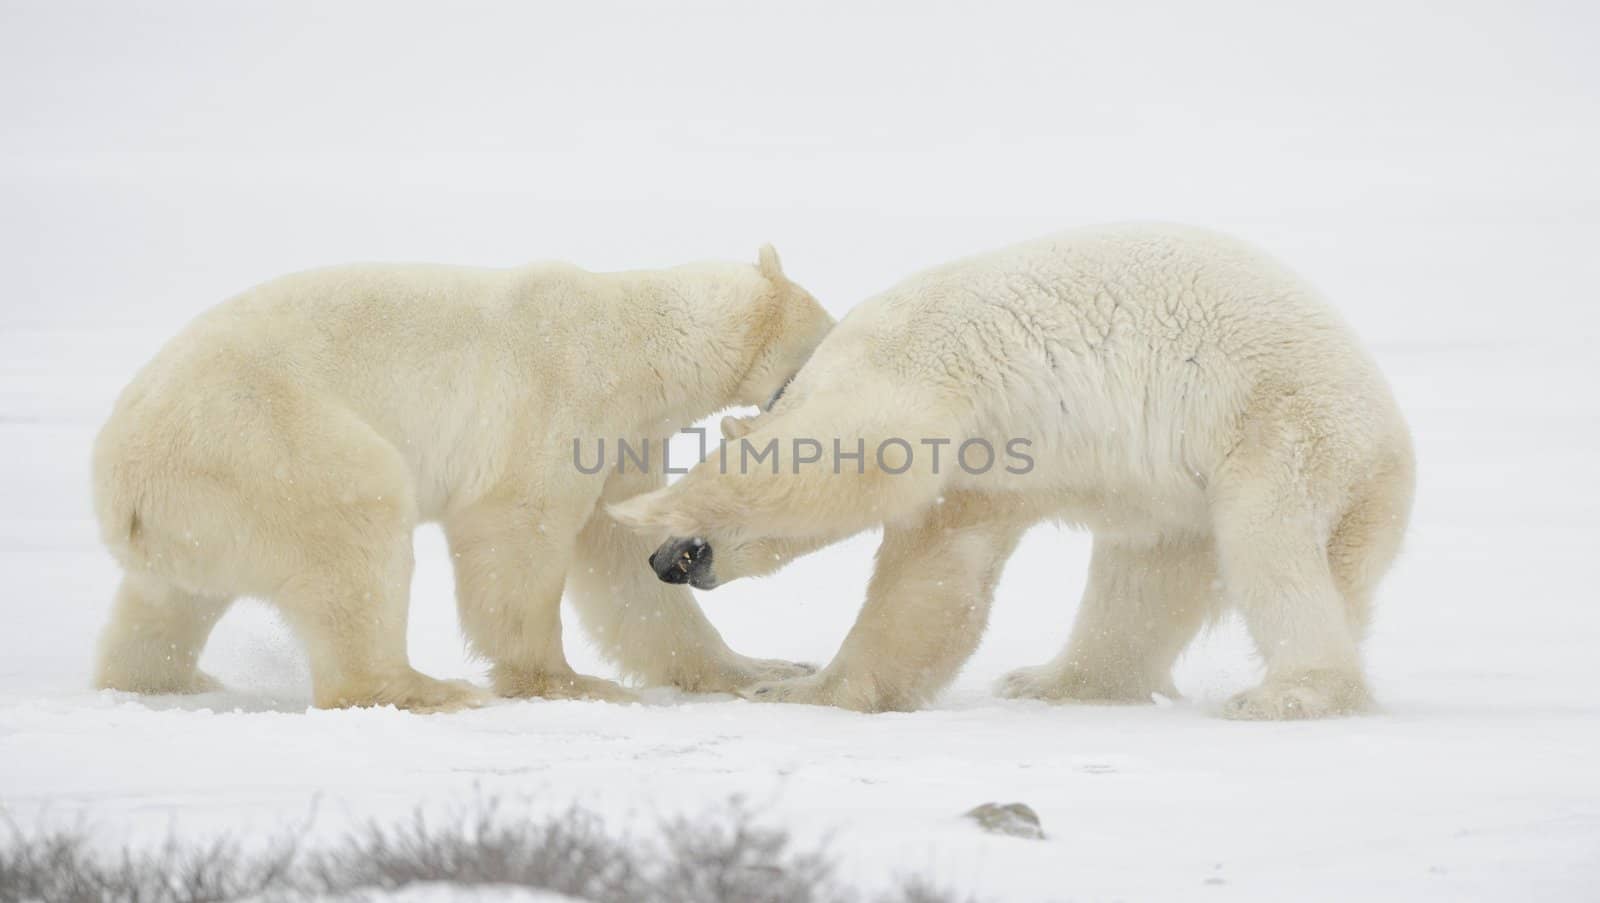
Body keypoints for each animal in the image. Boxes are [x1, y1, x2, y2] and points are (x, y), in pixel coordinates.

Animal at [92, 246, 832, 714]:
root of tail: (117, 487)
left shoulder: (622, 437)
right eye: (831, 335)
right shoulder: (558, 395)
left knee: (163, 606)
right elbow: (517, 531)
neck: (639, 338)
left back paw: (164, 680)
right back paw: (427, 688)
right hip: (263, 445)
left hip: (196, 518)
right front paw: (566, 682)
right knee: (358, 527)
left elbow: (625, 560)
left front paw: (765, 668)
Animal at [611, 224, 1414, 720]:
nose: (663, 562)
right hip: (1175, 489)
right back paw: (1058, 680)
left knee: (1270, 550)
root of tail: (1393, 453)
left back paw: (1290, 694)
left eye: (688, 539)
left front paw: (792, 688)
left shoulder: (917, 368)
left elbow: (848, 457)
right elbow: (936, 577)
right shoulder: (982, 470)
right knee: (1143, 580)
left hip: (1280, 428)